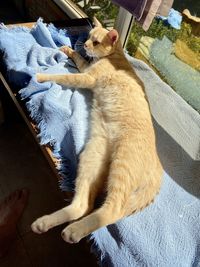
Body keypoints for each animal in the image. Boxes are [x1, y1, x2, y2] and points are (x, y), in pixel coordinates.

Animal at [30, 17, 162, 244]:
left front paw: (39, 76)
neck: (114, 56)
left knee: (111, 210)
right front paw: (68, 49)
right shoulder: (86, 68)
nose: (85, 44)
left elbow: (63, 76)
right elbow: (78, 59)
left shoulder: (86, 77)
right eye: (90, 37)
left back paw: (74, 231)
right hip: (92, 157)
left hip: (121, 167)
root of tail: (158, 166)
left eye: (97, 42)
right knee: (83, 205)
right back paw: (45, 224)